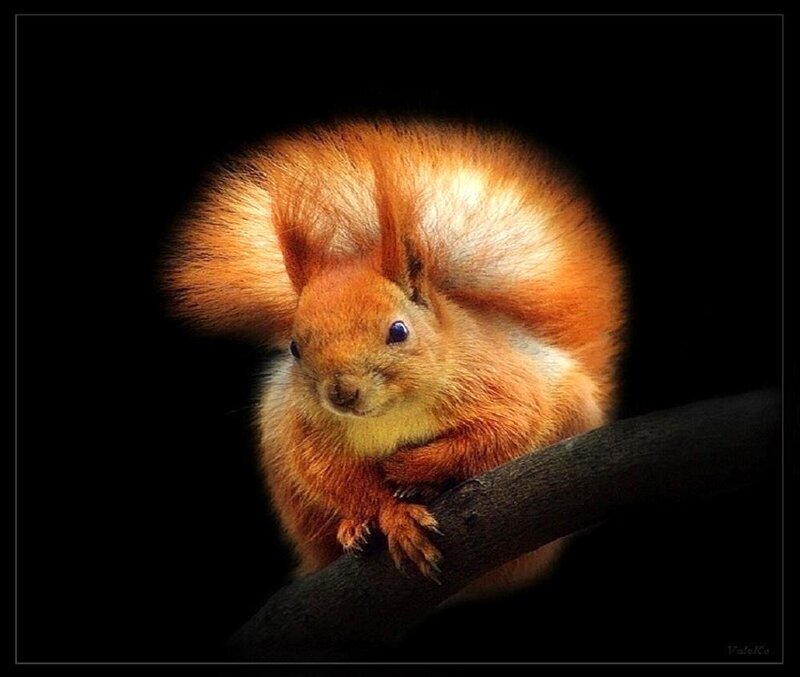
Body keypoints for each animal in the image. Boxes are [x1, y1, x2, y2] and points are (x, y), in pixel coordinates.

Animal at [165, 120, 625, 593]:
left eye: (398, 331)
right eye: (295, 347)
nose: (342, 393)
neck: (390, 414)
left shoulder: (501, 386)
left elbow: (496, 434)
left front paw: (405, 468)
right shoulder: (305, 432)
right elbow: (336, 477)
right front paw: (393, 515)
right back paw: (351, 527)